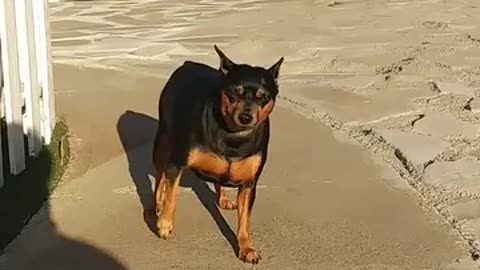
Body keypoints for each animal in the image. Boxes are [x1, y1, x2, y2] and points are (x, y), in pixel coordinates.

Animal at [152, 44, 284, 264]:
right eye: (234, 93)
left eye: (263, 97)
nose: (246, 117)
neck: (232, 136)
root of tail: (187, 63)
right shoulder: (177, 162)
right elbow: (171, 196)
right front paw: (165, 223)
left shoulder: (249, 183)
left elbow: (245, 219)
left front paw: (246, 247)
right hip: (163, 140)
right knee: (160, 176)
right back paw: (157, 205)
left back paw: (222, 198)